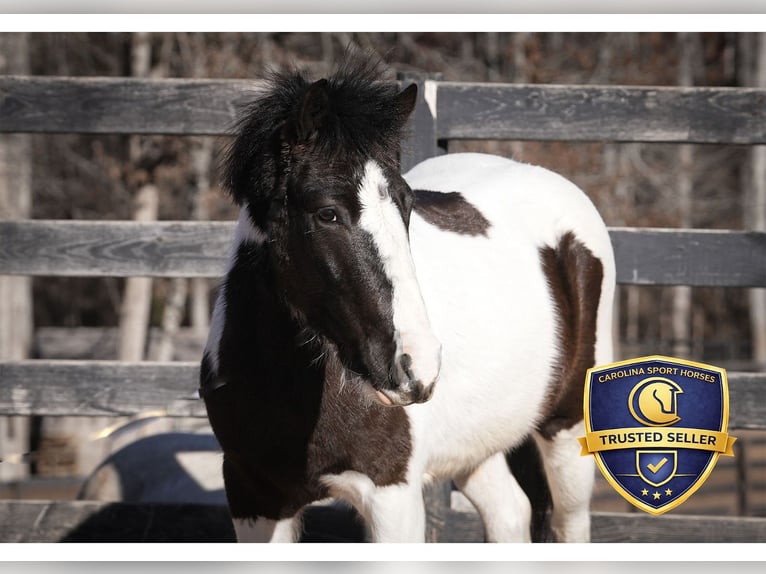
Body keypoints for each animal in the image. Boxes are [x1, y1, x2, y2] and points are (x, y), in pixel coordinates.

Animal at [200, 58, 616, 543]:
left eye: (406, 202)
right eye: (327, 213)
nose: (417, 365)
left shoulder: (391, 495)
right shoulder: (253, 498)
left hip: (568, 430)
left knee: (569, 521)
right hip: (475, 446)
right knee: (510, 511)